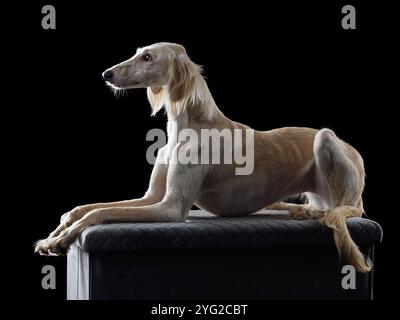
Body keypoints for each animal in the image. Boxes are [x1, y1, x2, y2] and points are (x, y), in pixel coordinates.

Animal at [35, 42, 372, 272]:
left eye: (148, 57)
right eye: (138, 52)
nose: (107, 73)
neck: (187, 125)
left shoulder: (170, 208)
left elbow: (99, 213)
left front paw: (61, 238)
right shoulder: (151, 197)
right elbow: (85, 208)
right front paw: (57, 233)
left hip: (326, 139)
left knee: (349, 211)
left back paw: (313, 215)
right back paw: (301, 210)